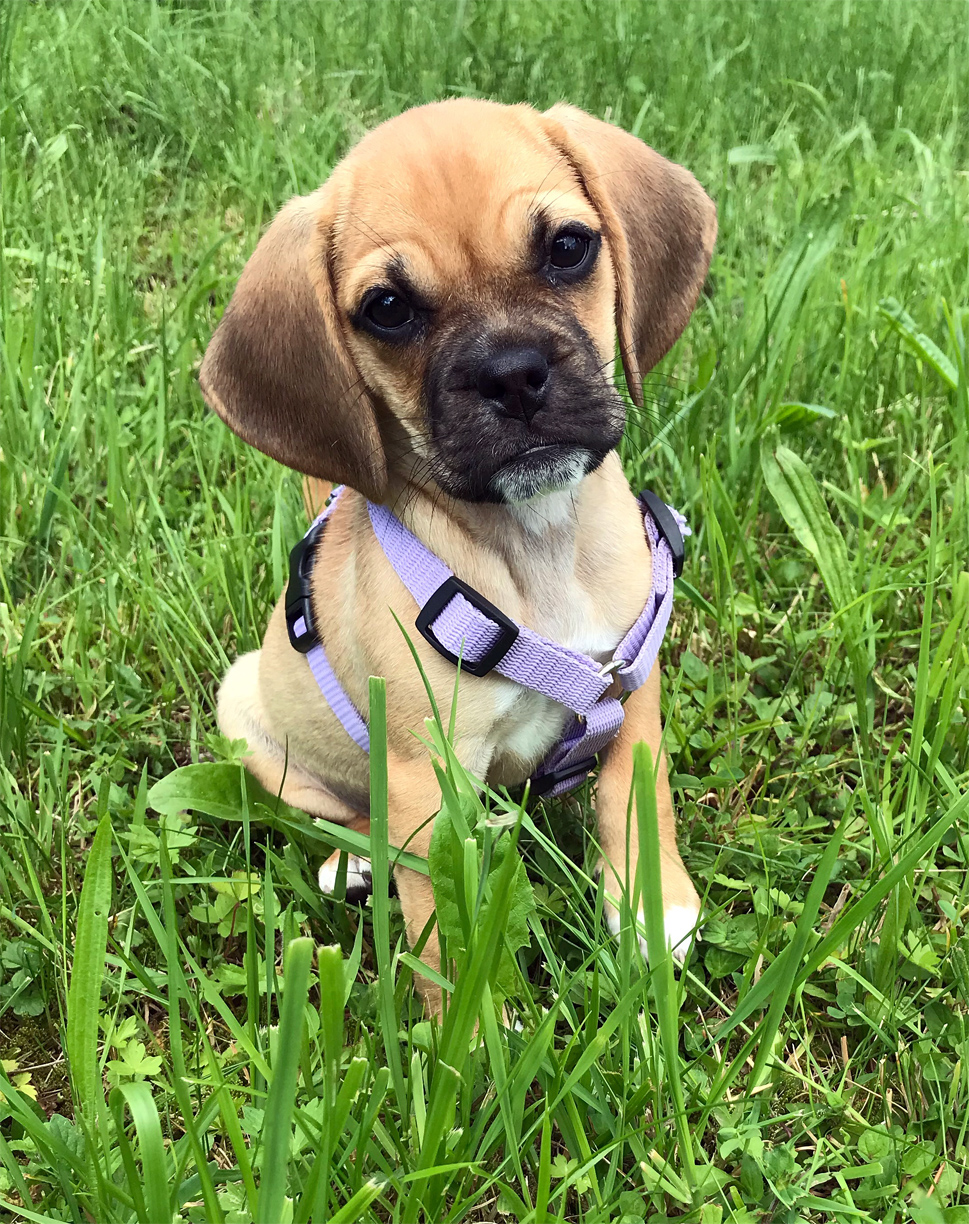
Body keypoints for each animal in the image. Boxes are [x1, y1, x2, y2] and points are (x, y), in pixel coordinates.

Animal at [199, 98, 716, 1012]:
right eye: (387, 307)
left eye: (567, 247)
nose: (512, 375)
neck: (536, 545)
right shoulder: (421, 778)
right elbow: (445, 923)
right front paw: (466, 1033)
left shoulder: (633, 686)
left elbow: (636, 794)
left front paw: (655, 910)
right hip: (247, 707)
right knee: (326, 813)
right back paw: (350, 864)